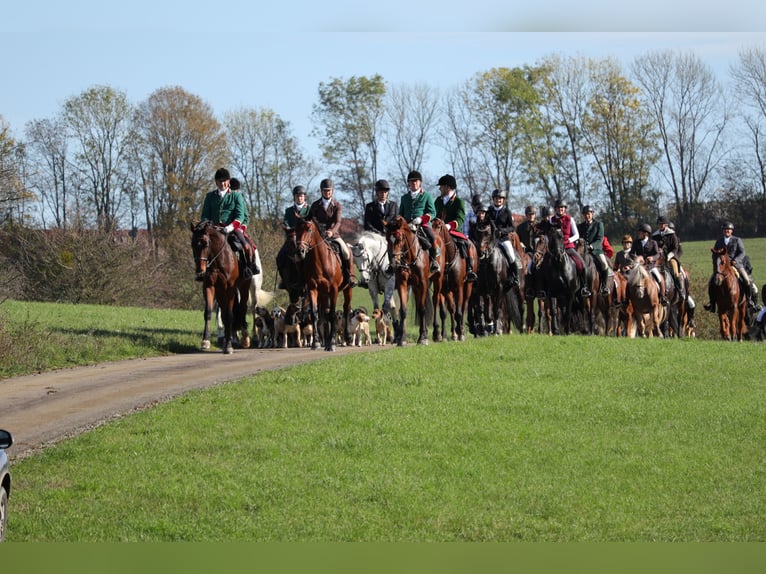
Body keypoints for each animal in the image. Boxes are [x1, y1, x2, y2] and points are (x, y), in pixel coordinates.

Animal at [190, 222, 250, 354]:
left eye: (205, 243)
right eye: (192, 244)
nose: (200, 271)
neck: (218, 259)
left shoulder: (230, 289)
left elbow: (229, 315)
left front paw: (229, 345)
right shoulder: (209, 286)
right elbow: (208, 312)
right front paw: (205, 341)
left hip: (244, 287)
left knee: (242, 308)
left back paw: (244, 338)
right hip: (220, 292)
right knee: (223, 314)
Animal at [294, 218, 354, 352]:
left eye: (309, 230)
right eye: (296, 230)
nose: (300, 251)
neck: (320, 260)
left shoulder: (334, 290)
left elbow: (332, 314)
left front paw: (332, 344)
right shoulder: (313, 289)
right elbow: (315, 314)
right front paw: (316, 343)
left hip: (347, 289)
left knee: (346, 308)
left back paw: (347, 337)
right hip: (323, 294)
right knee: (325, 313)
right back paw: (326, 342)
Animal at [388, 214, 436, 344]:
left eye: (399, 238)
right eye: (387, 239)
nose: (394, 262)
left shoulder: (423, 283)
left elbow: (422, 309)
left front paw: (422, 338)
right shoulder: (403, 284)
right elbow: (403, 310)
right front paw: (402, 339)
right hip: (414, 286)